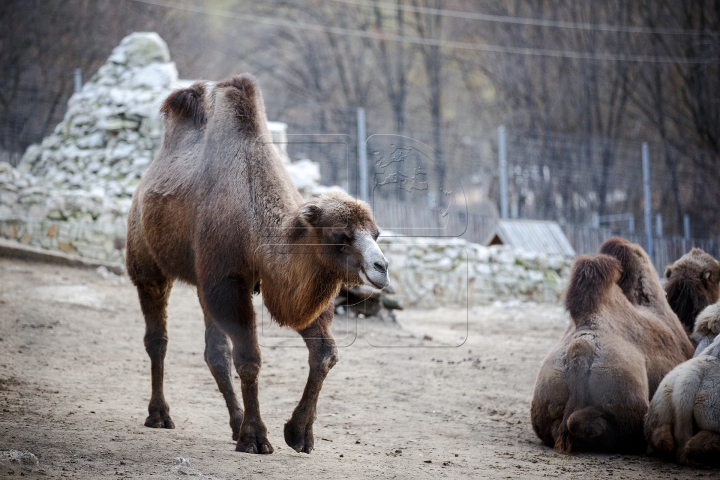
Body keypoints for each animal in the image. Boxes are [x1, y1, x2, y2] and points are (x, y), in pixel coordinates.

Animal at [126, 74, 390, 454]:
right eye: (340, 235)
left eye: (376, 233)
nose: (381, 268)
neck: (253, 222)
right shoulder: (228, 280)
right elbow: (249, 359)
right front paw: (255, 437)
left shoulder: (264, 284)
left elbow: (325, 353)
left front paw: (299, 433)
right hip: (148, 264)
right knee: (157, 338)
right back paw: (160, 415)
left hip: (203, 283)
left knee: (214, 352)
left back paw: (233, 424)